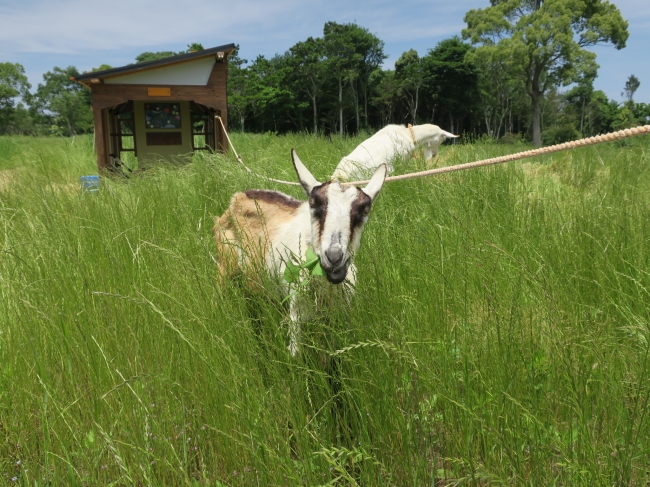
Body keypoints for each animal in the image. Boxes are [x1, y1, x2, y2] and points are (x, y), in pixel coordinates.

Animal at [213, 148, 384, 354]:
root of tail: (238, 197)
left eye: (364, 211)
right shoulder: (296, 313)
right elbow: (295, 353)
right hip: (226, 268)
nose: (334, 257)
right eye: (314, 204)